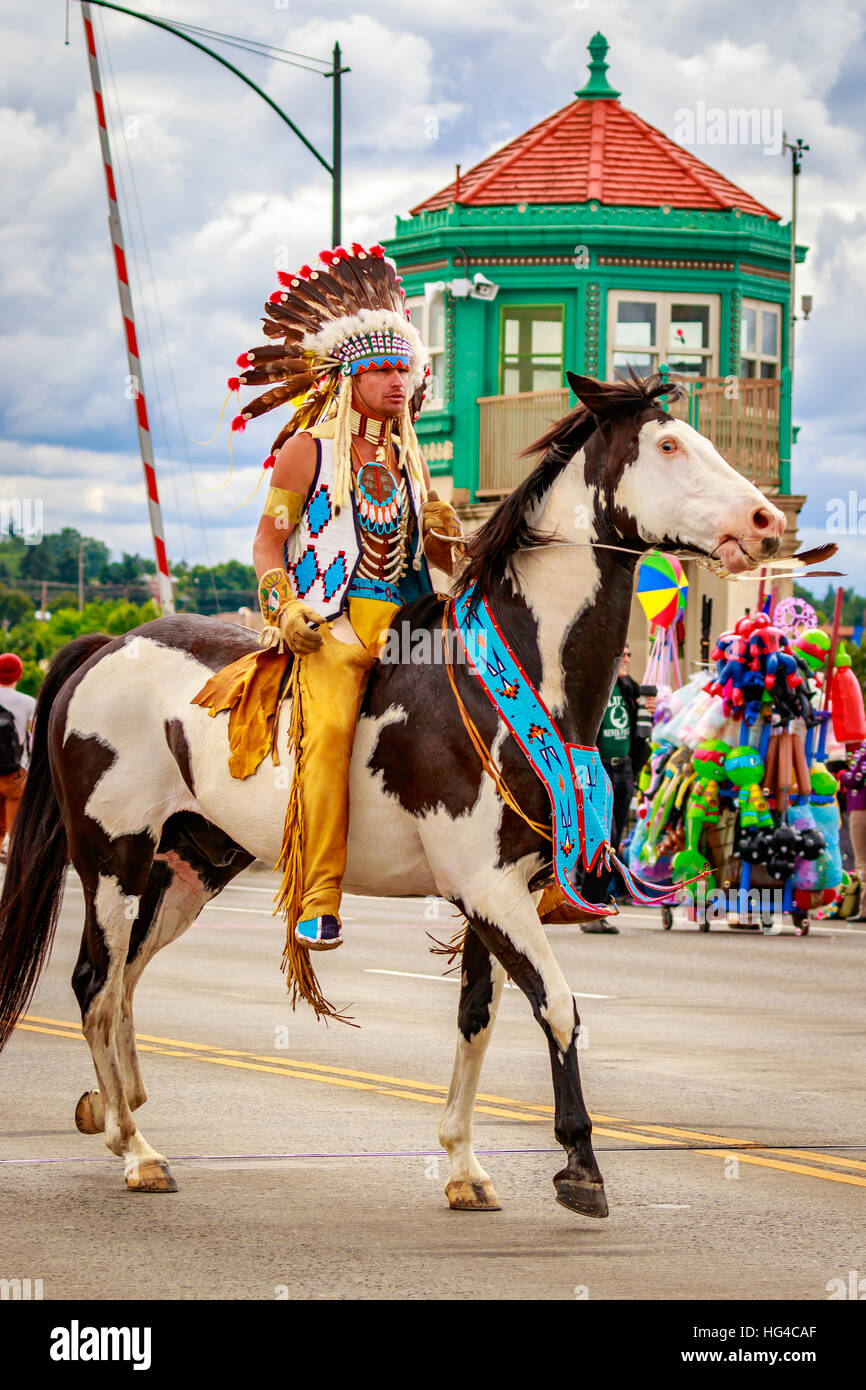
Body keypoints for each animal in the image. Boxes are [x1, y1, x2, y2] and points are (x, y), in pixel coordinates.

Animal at [0, 375, 783, 1212]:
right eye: (669, 445)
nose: (766, 521)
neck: (511, 673)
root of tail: (107, 645)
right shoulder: (490, 891)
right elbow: (559, 1006)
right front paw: (579, 1162)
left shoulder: (501, 893)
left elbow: (478, 1016)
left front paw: (464, 1165)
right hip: (111, 855)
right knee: (94, 982)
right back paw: (136, 1148)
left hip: (188, 864)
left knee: (124, 980)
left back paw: (117, 1116)